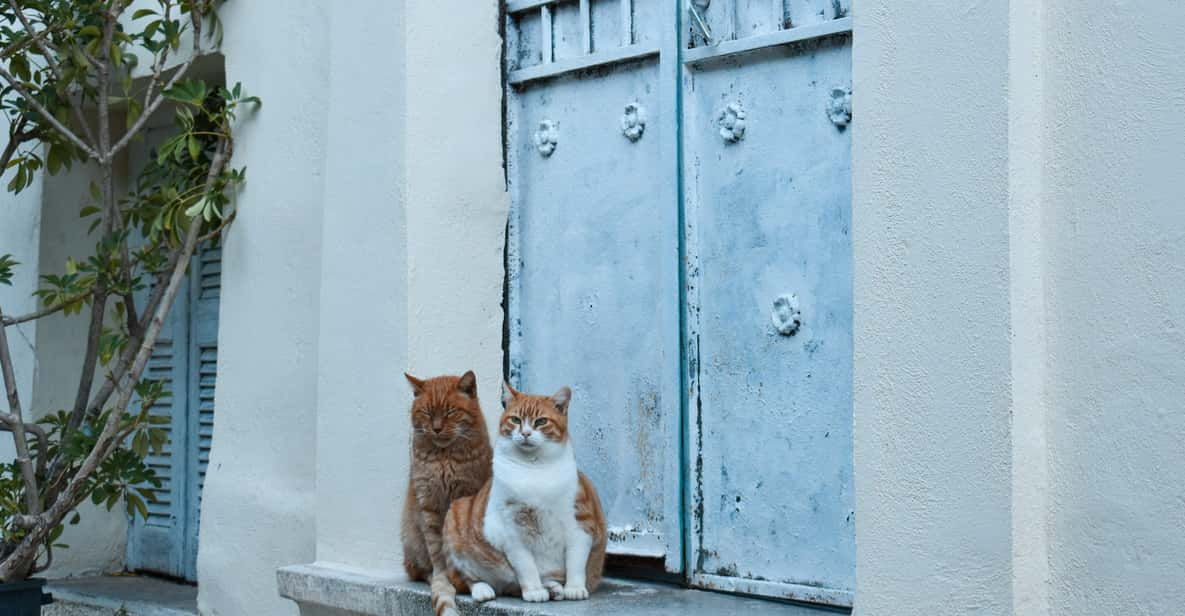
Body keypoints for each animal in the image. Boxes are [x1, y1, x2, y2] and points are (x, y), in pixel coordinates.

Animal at [398, 369, 490, 616]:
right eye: (427, 413)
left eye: (450, 412)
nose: (437, 428)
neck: (444, 457)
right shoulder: (428, 506)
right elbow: (437, 552)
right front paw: (445, 580)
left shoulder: (467, 499)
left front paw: (473, 584)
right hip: (412, 538)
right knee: (419, 570)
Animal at [445, 381, 611, 604]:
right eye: (515, 419)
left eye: (541, 421)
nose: (525, 433)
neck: (534, 468)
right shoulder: (512, 533)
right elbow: (526, 567)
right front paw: (534, 591)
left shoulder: (581, 524)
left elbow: (576, 562)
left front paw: (574, 588)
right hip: (456, 515)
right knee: (465, 578)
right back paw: (484, 589)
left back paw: (554, 588)